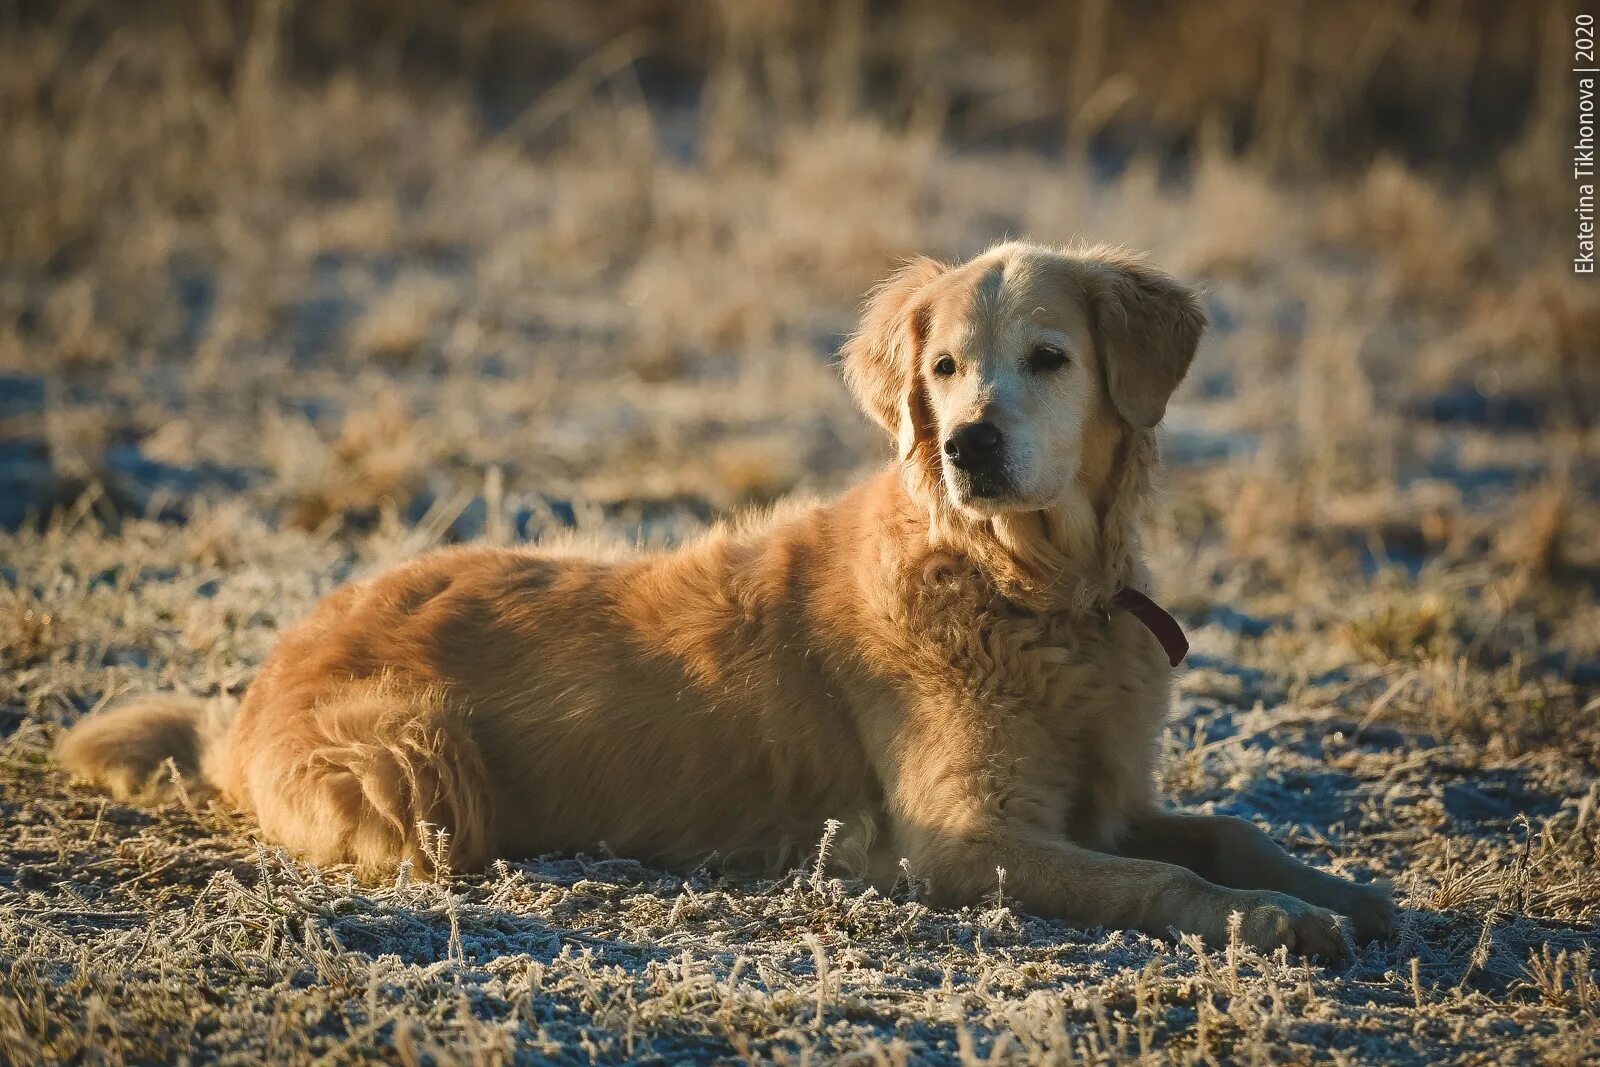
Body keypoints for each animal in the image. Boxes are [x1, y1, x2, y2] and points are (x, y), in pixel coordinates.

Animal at [62, 241, 1388, 959]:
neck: (1031, 589)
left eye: (1050, 359)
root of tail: (251, 687)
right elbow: (1168, 881)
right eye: (944, 366)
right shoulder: (966, 837)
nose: (968, 444)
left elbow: (1228, 831)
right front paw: (1278, 920)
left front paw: (1345, 894)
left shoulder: (1107, 801)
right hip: (421, 767)